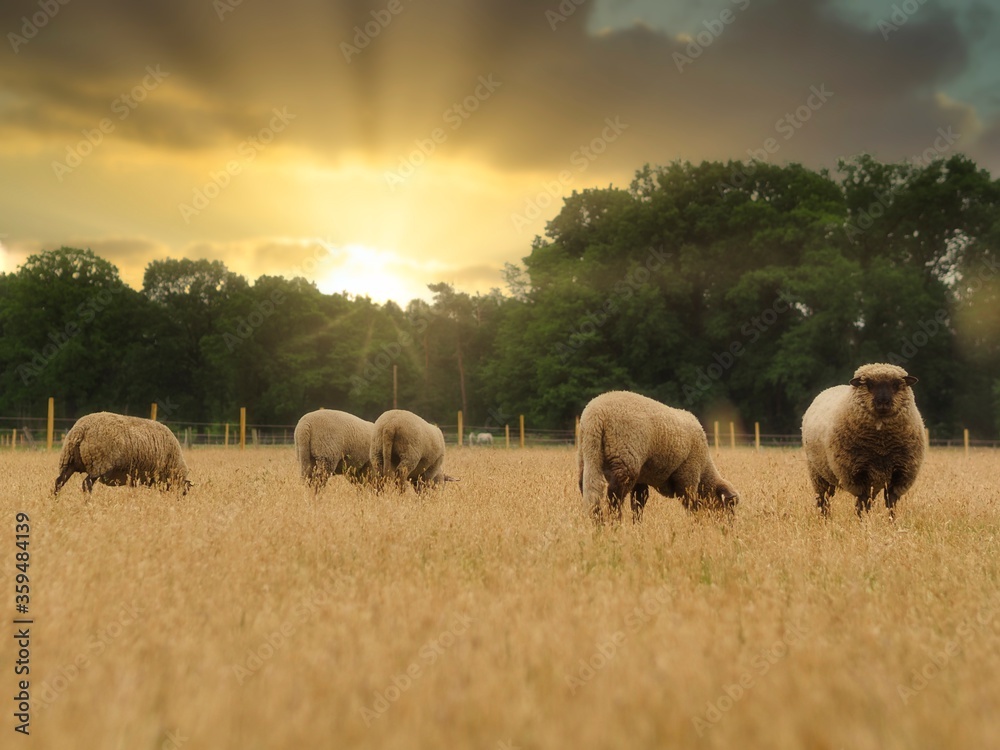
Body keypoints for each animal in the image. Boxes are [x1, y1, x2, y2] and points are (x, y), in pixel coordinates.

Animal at [53, 411, 191, 495]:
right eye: (184, 493)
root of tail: (81, 429)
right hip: (99, 465)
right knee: (86, 484)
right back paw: (88, 503)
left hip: (68, 462)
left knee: (59, 482)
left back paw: (56, 501)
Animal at [577, 390, 739, 523]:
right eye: (729, 507)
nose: (729, 528)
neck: (705, 469)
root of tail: (596, 415)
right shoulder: (688, 476)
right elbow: (690, 504)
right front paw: (695, 523)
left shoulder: (641, 479)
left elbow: (639, 502)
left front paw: (638, 525)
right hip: (625, 459)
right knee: (615, 495)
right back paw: (615, 522)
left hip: (588, 453)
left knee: (589, 489)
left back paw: (597, 522)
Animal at [801, 362, 925, 519]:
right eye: (869, 384)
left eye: (896, 384)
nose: (883, 402)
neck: (881, 446)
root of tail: (827, 389)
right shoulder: (856, 474)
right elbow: (862, 502)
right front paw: (862, 521)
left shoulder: (900, 474)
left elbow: (890, 503)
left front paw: (891, 521)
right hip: (818, 473)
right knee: (822, 499)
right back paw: (824, 518)